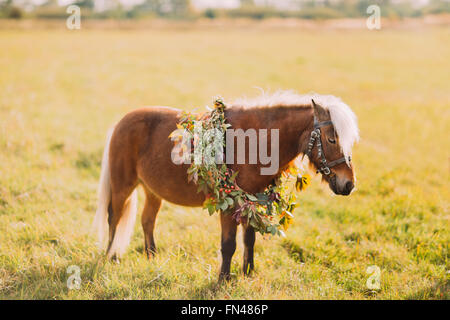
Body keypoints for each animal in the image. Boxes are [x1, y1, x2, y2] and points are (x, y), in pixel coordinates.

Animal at [93, 90, 360, 280]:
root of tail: (120, 123)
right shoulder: (229, 205)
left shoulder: (251, 201)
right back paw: (111, 257)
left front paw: (248, 272)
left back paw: (152, 257)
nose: (348, 185)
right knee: (114, 217)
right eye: (331, 139)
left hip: (152, 191)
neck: (254, 142)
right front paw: (224, 278)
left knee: (147, 221)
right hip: (122, 186)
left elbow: (249, 239)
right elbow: (228, 244)